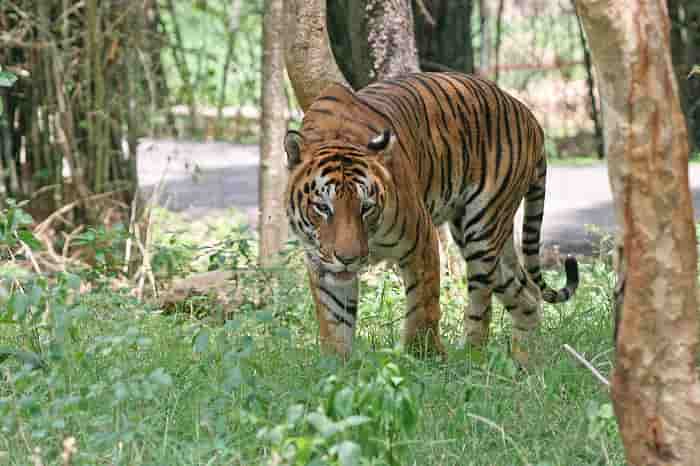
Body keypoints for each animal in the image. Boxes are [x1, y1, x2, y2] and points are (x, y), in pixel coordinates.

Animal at [284, 71, 580, 362]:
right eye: (323, 208)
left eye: (365, 207)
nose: (349, 259)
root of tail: (530, 117)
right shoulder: (319, 259)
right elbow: (334, 320)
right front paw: (336, 365)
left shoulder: (421, 239)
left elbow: (422, 306)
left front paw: (426, 357)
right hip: (487, 239)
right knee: (527, 294)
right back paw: (527, 360)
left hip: (482, 231)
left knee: (481, 306)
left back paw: (472, 358)